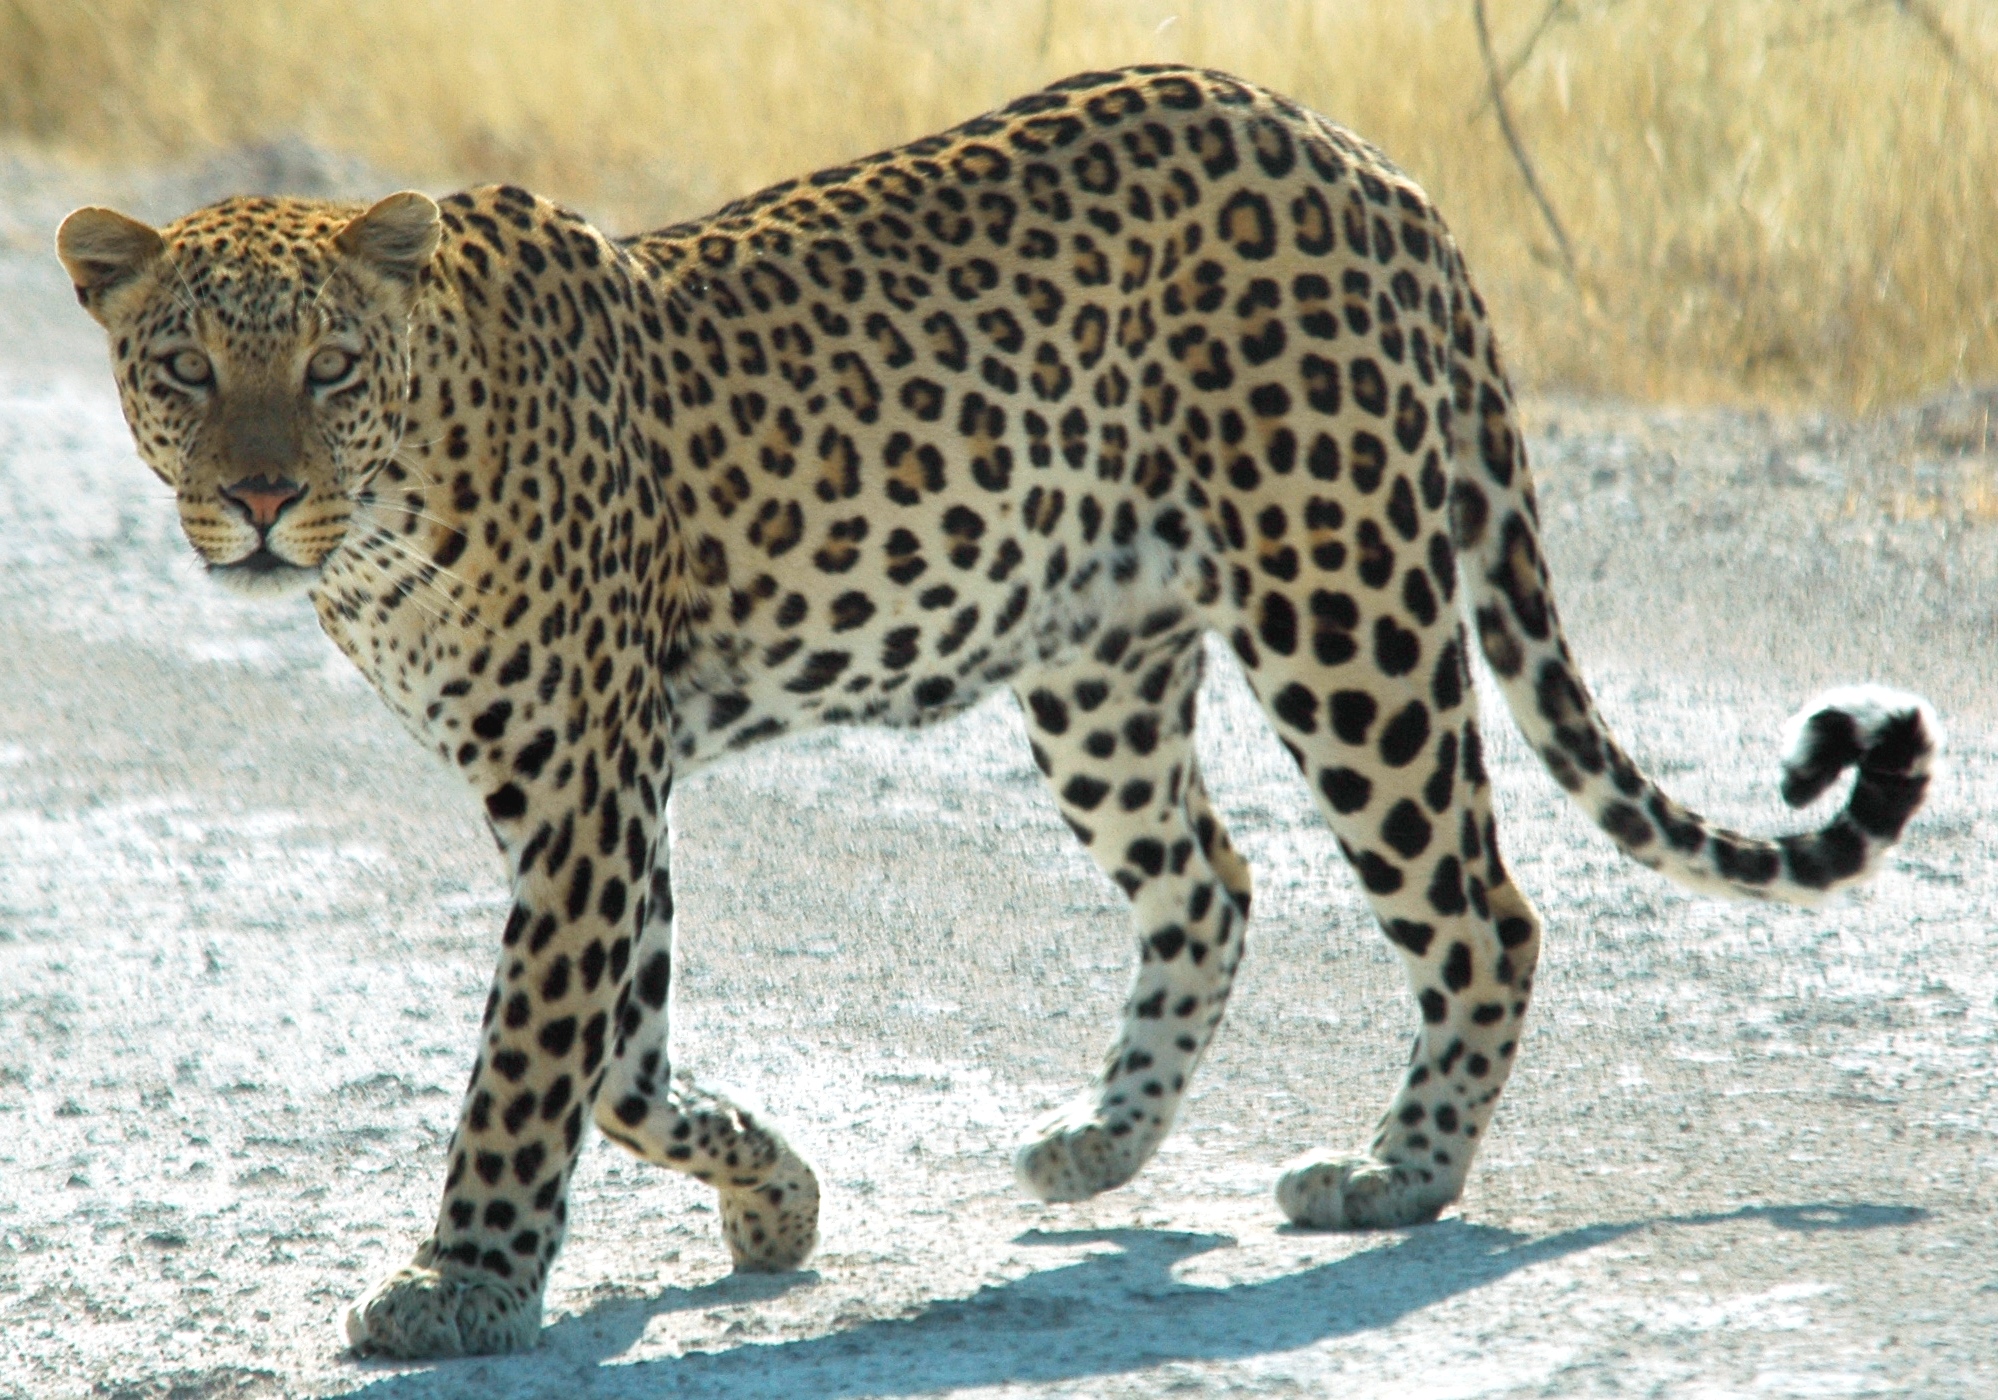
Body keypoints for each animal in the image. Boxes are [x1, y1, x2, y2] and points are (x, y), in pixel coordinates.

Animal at [56, 65, 1938, 1359]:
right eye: (184, 371)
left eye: (327, 371)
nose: (258, 503)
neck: (392, 514)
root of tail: (1361, 157)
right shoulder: (596, 792)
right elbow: (622, 1057)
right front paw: (774, 1195)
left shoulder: (584, 788)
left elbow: (530, 1065)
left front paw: (460, 1287)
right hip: (1094, 664)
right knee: (1210, 880)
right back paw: (1100, 1148)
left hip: (1342, 603)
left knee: (1481, 904)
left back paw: (1391, 1177)